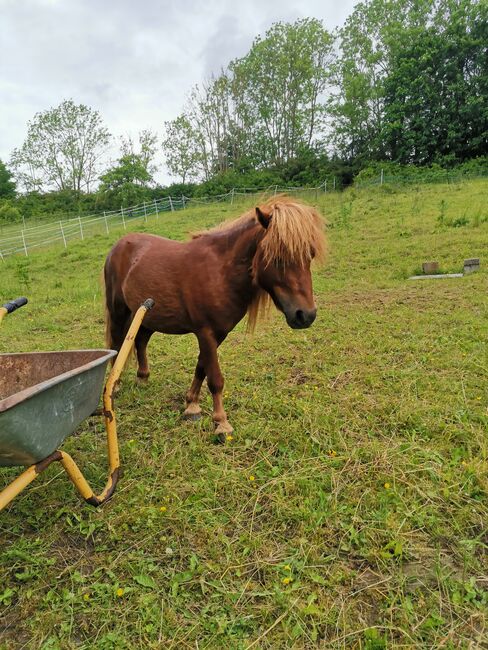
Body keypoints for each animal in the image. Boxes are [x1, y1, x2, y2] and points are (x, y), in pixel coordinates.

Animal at [103, 192, 326, 436]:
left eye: (310, 255)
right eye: (277, 257)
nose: (305, 315)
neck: (221, 272)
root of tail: (119, 245)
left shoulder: (218, 334)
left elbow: (202, 367)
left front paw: (192, 405)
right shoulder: (206, 332)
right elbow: (215, 378)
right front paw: (221, 422)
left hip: (146, 315)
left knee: (141, 341)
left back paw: (143, 378)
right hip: (119, 311)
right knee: (117, 344)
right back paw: (116, 385)